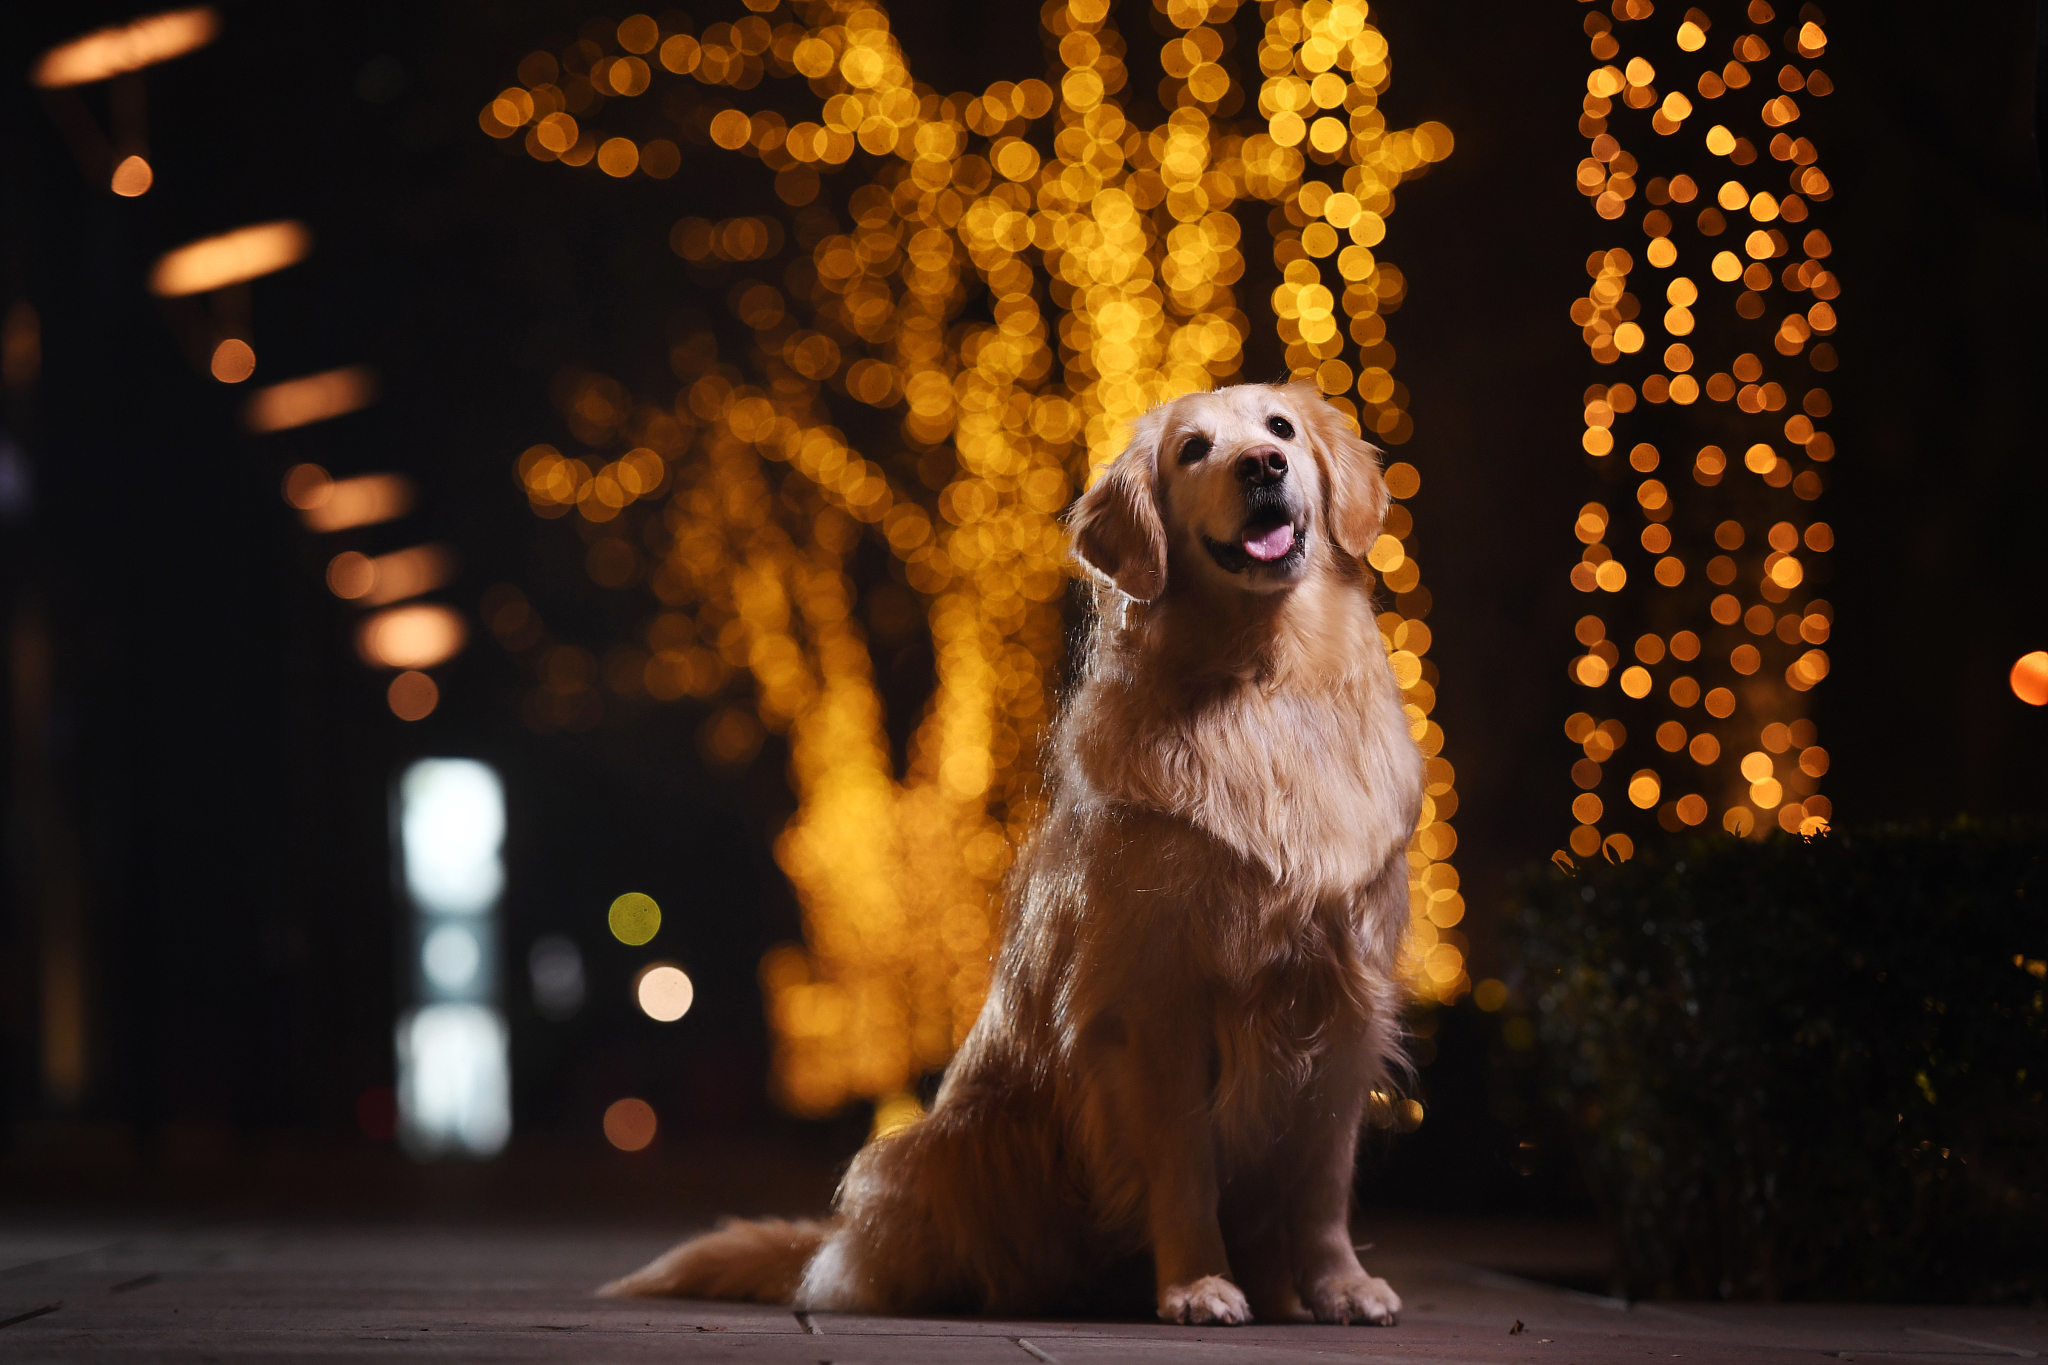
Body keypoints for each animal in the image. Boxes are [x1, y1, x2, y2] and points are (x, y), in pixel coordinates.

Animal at [598, 382, 1417, 1326]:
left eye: (1280, 428)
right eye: (1194, 450)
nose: (1263, 465)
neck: (1267, 687)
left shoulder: (1342, 999)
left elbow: (1324, 1179)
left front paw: (1340, 1283)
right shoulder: (1155, 1005)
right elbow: (1182, 1168)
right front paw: (1197, 1283)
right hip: (961, 1145)